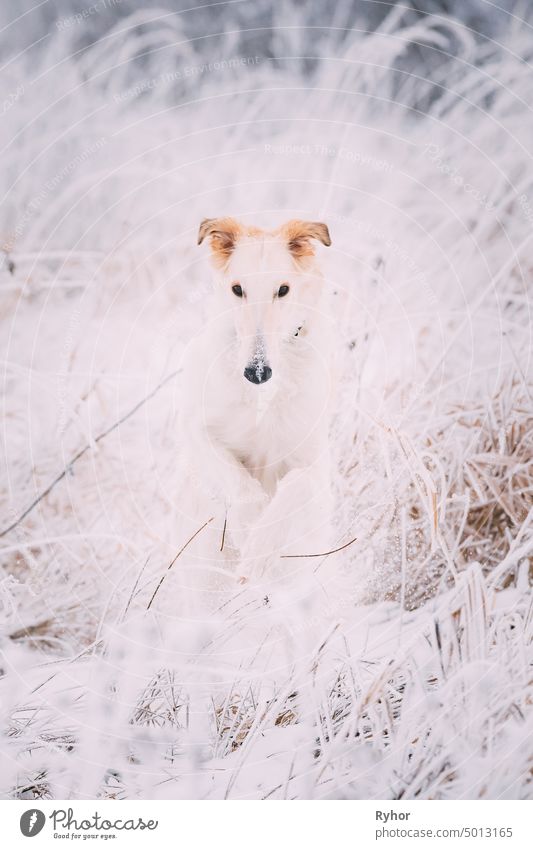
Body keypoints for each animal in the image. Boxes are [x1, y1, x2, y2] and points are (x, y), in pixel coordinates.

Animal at [174, 219, 332, 616]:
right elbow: (242, 486)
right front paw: (250, 531)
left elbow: (294, 486)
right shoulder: (198, 430)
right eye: (237, 289)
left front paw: (260, 548)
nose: (257, 373)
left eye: (283, 290)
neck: (263, 397)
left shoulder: (314, 460)